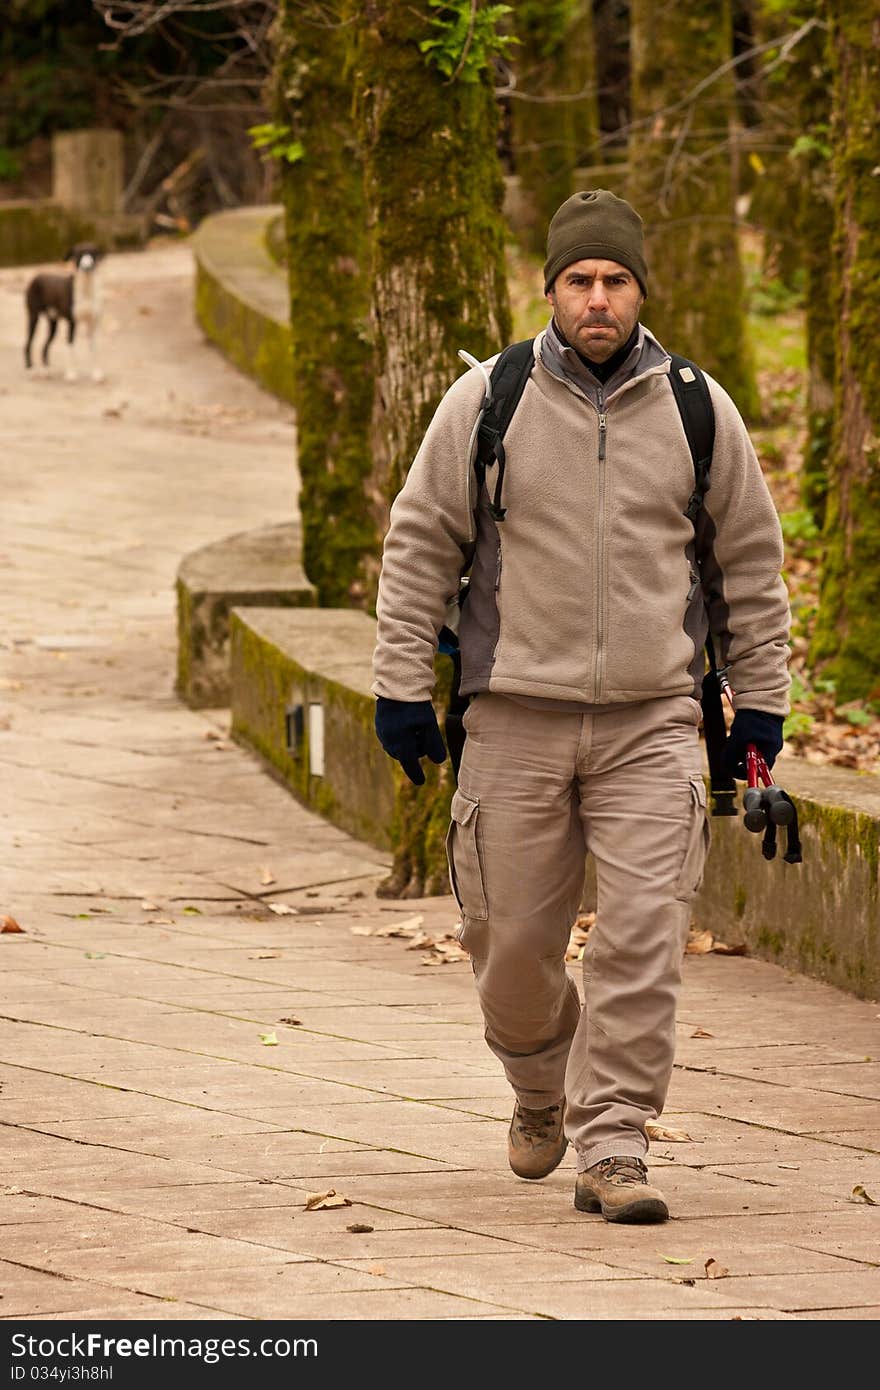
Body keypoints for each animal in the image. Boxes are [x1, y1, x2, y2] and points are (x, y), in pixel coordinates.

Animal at [24, 240, 104, 380]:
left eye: (93, 254)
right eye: (78, 255)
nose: (86, 267)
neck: (86, 289)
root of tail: (35, 277)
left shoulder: (92, 324)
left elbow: (95, 350)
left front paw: (97, 374)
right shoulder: (72, 323)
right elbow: (71, 347)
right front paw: (71, 374)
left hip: (53, 324)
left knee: (44, 347)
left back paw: (46, 371)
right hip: (33, 317)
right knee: (28, 344)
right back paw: (30, 369)